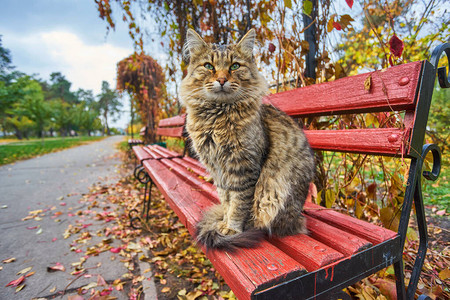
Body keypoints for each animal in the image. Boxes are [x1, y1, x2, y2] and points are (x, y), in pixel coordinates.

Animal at [180, 28, 316, 251]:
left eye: (234, 66)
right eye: (209, 66)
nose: (222, 80)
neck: (217, 118)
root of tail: (299, 218)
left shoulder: (243, 169)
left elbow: (238, 204)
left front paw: (232, 229)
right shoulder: (219, 171)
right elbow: (226, 200)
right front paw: (224, 222)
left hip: (274, 193)